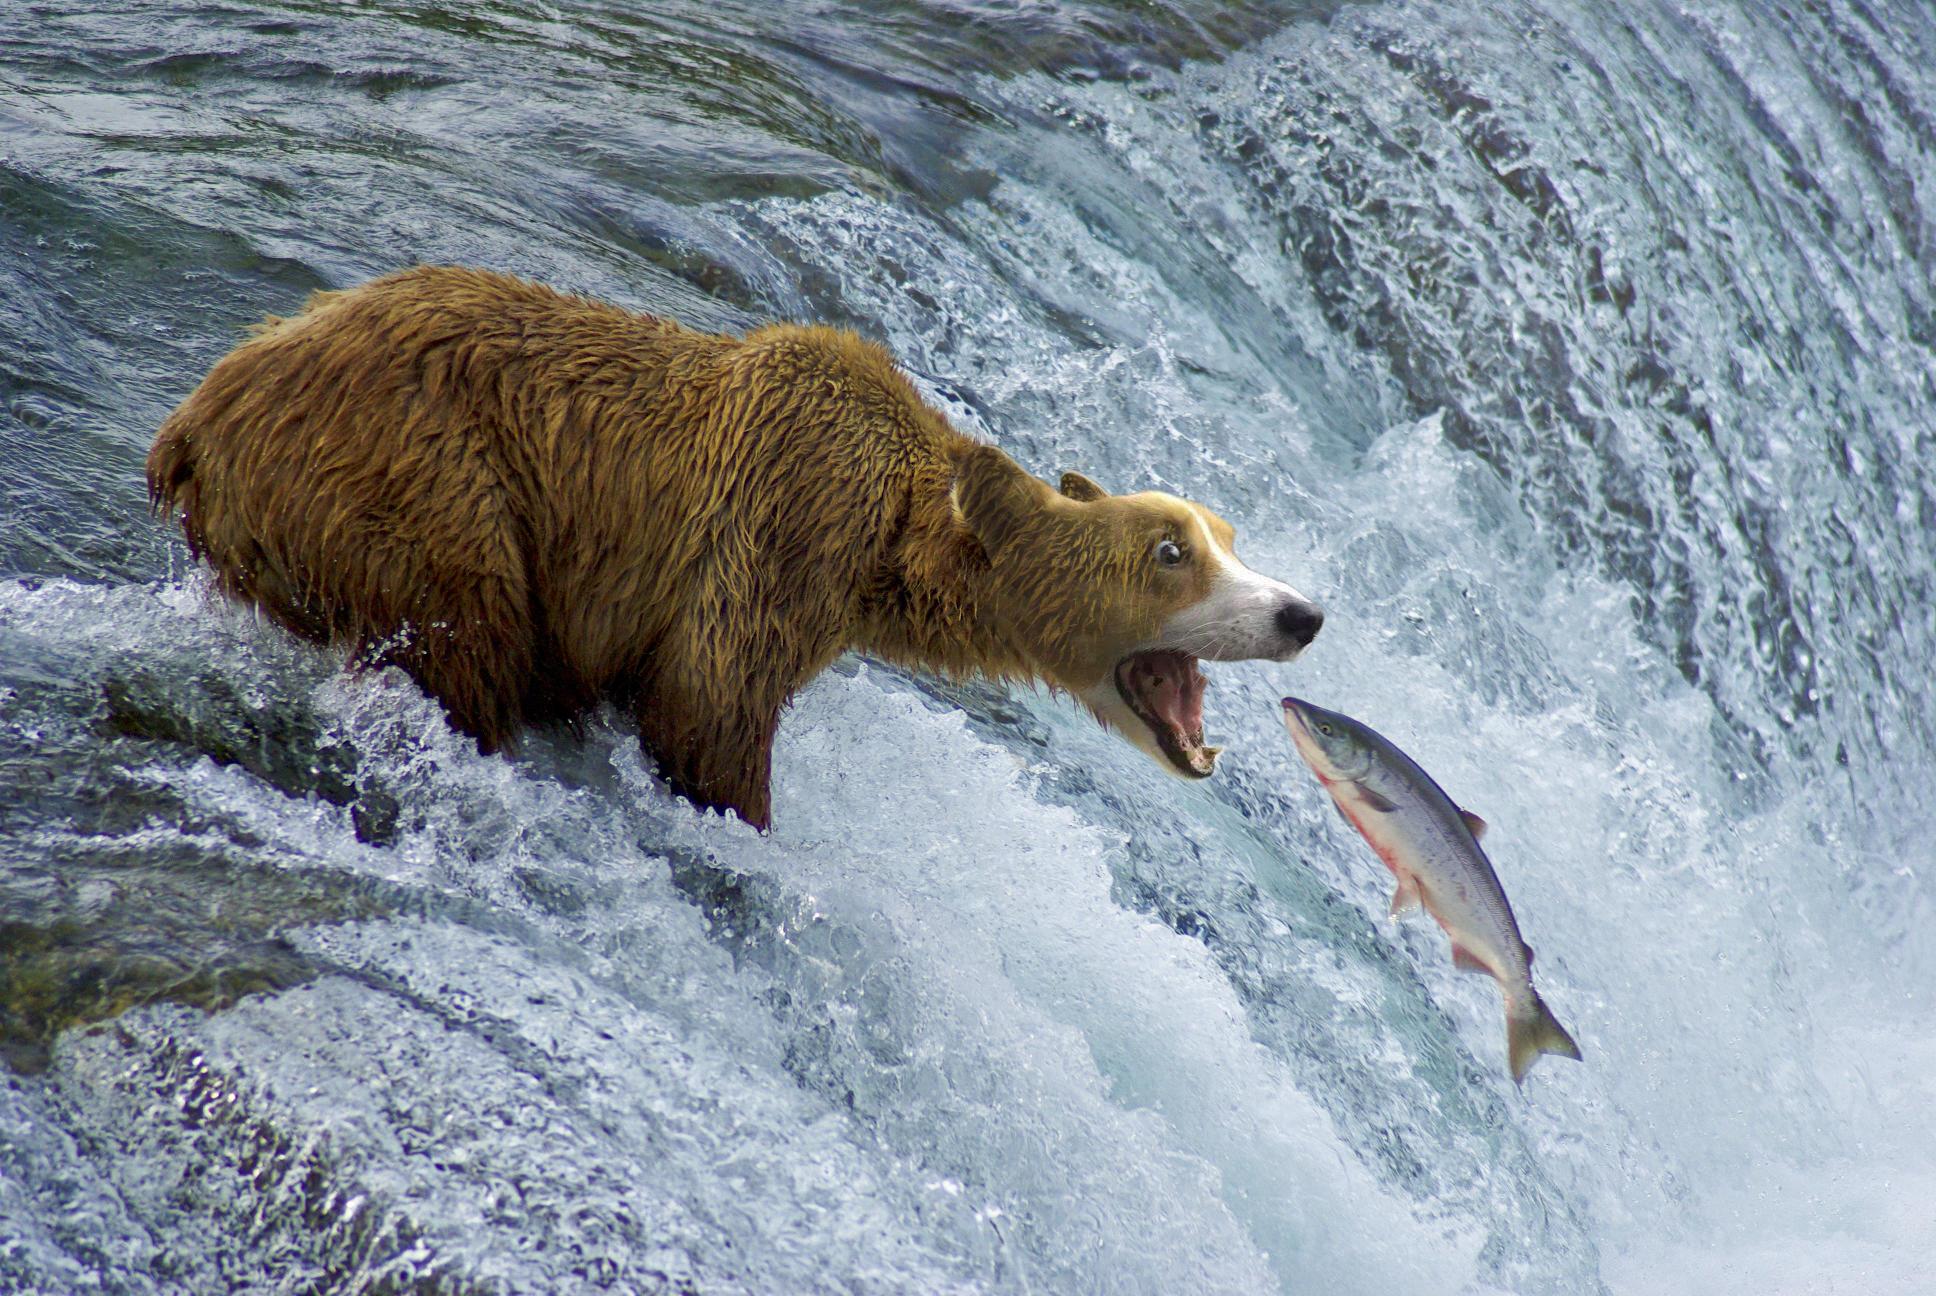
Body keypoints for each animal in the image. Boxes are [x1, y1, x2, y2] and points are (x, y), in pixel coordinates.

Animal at [151, 265, 1324, 829]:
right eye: (1170, 551)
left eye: (1225, 534)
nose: (1301, 612)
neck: (890, 554)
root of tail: (199, 416)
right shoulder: (779, 528)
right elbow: (709, 705)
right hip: (421, 480)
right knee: (463, 639)